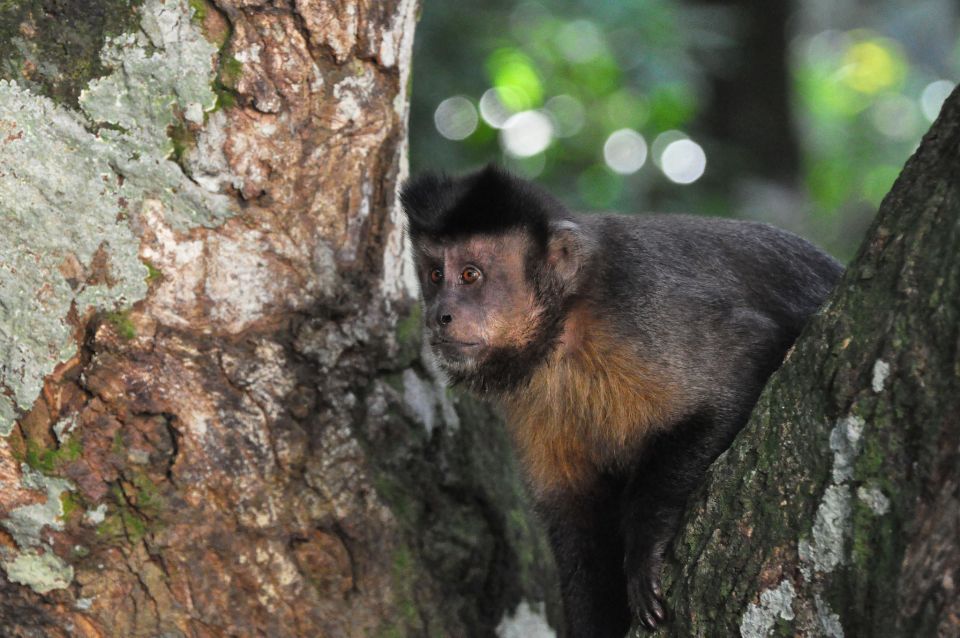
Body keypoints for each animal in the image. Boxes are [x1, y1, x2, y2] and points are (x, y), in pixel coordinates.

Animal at [398, 166, 840, 638]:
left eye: (469, 275)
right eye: (434, 276)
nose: (438, 315)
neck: (564, 329)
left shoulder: (641, 308)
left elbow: (745, 362)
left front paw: (647, 545)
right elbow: (576, 519)